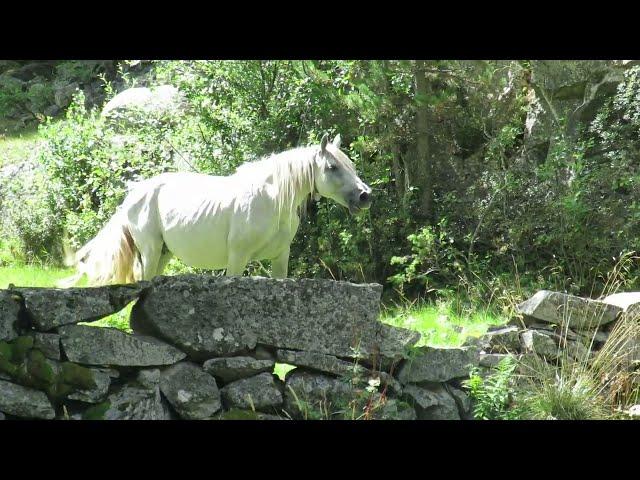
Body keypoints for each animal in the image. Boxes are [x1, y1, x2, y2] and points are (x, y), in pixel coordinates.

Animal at [61, 133, 370, 286]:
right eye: (332, 167)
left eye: (350, 164)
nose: (365, 196)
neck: (272, 201)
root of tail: (133, 195)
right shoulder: (238, 258)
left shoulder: (280, 258)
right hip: (150, 251)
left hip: (164, 254)